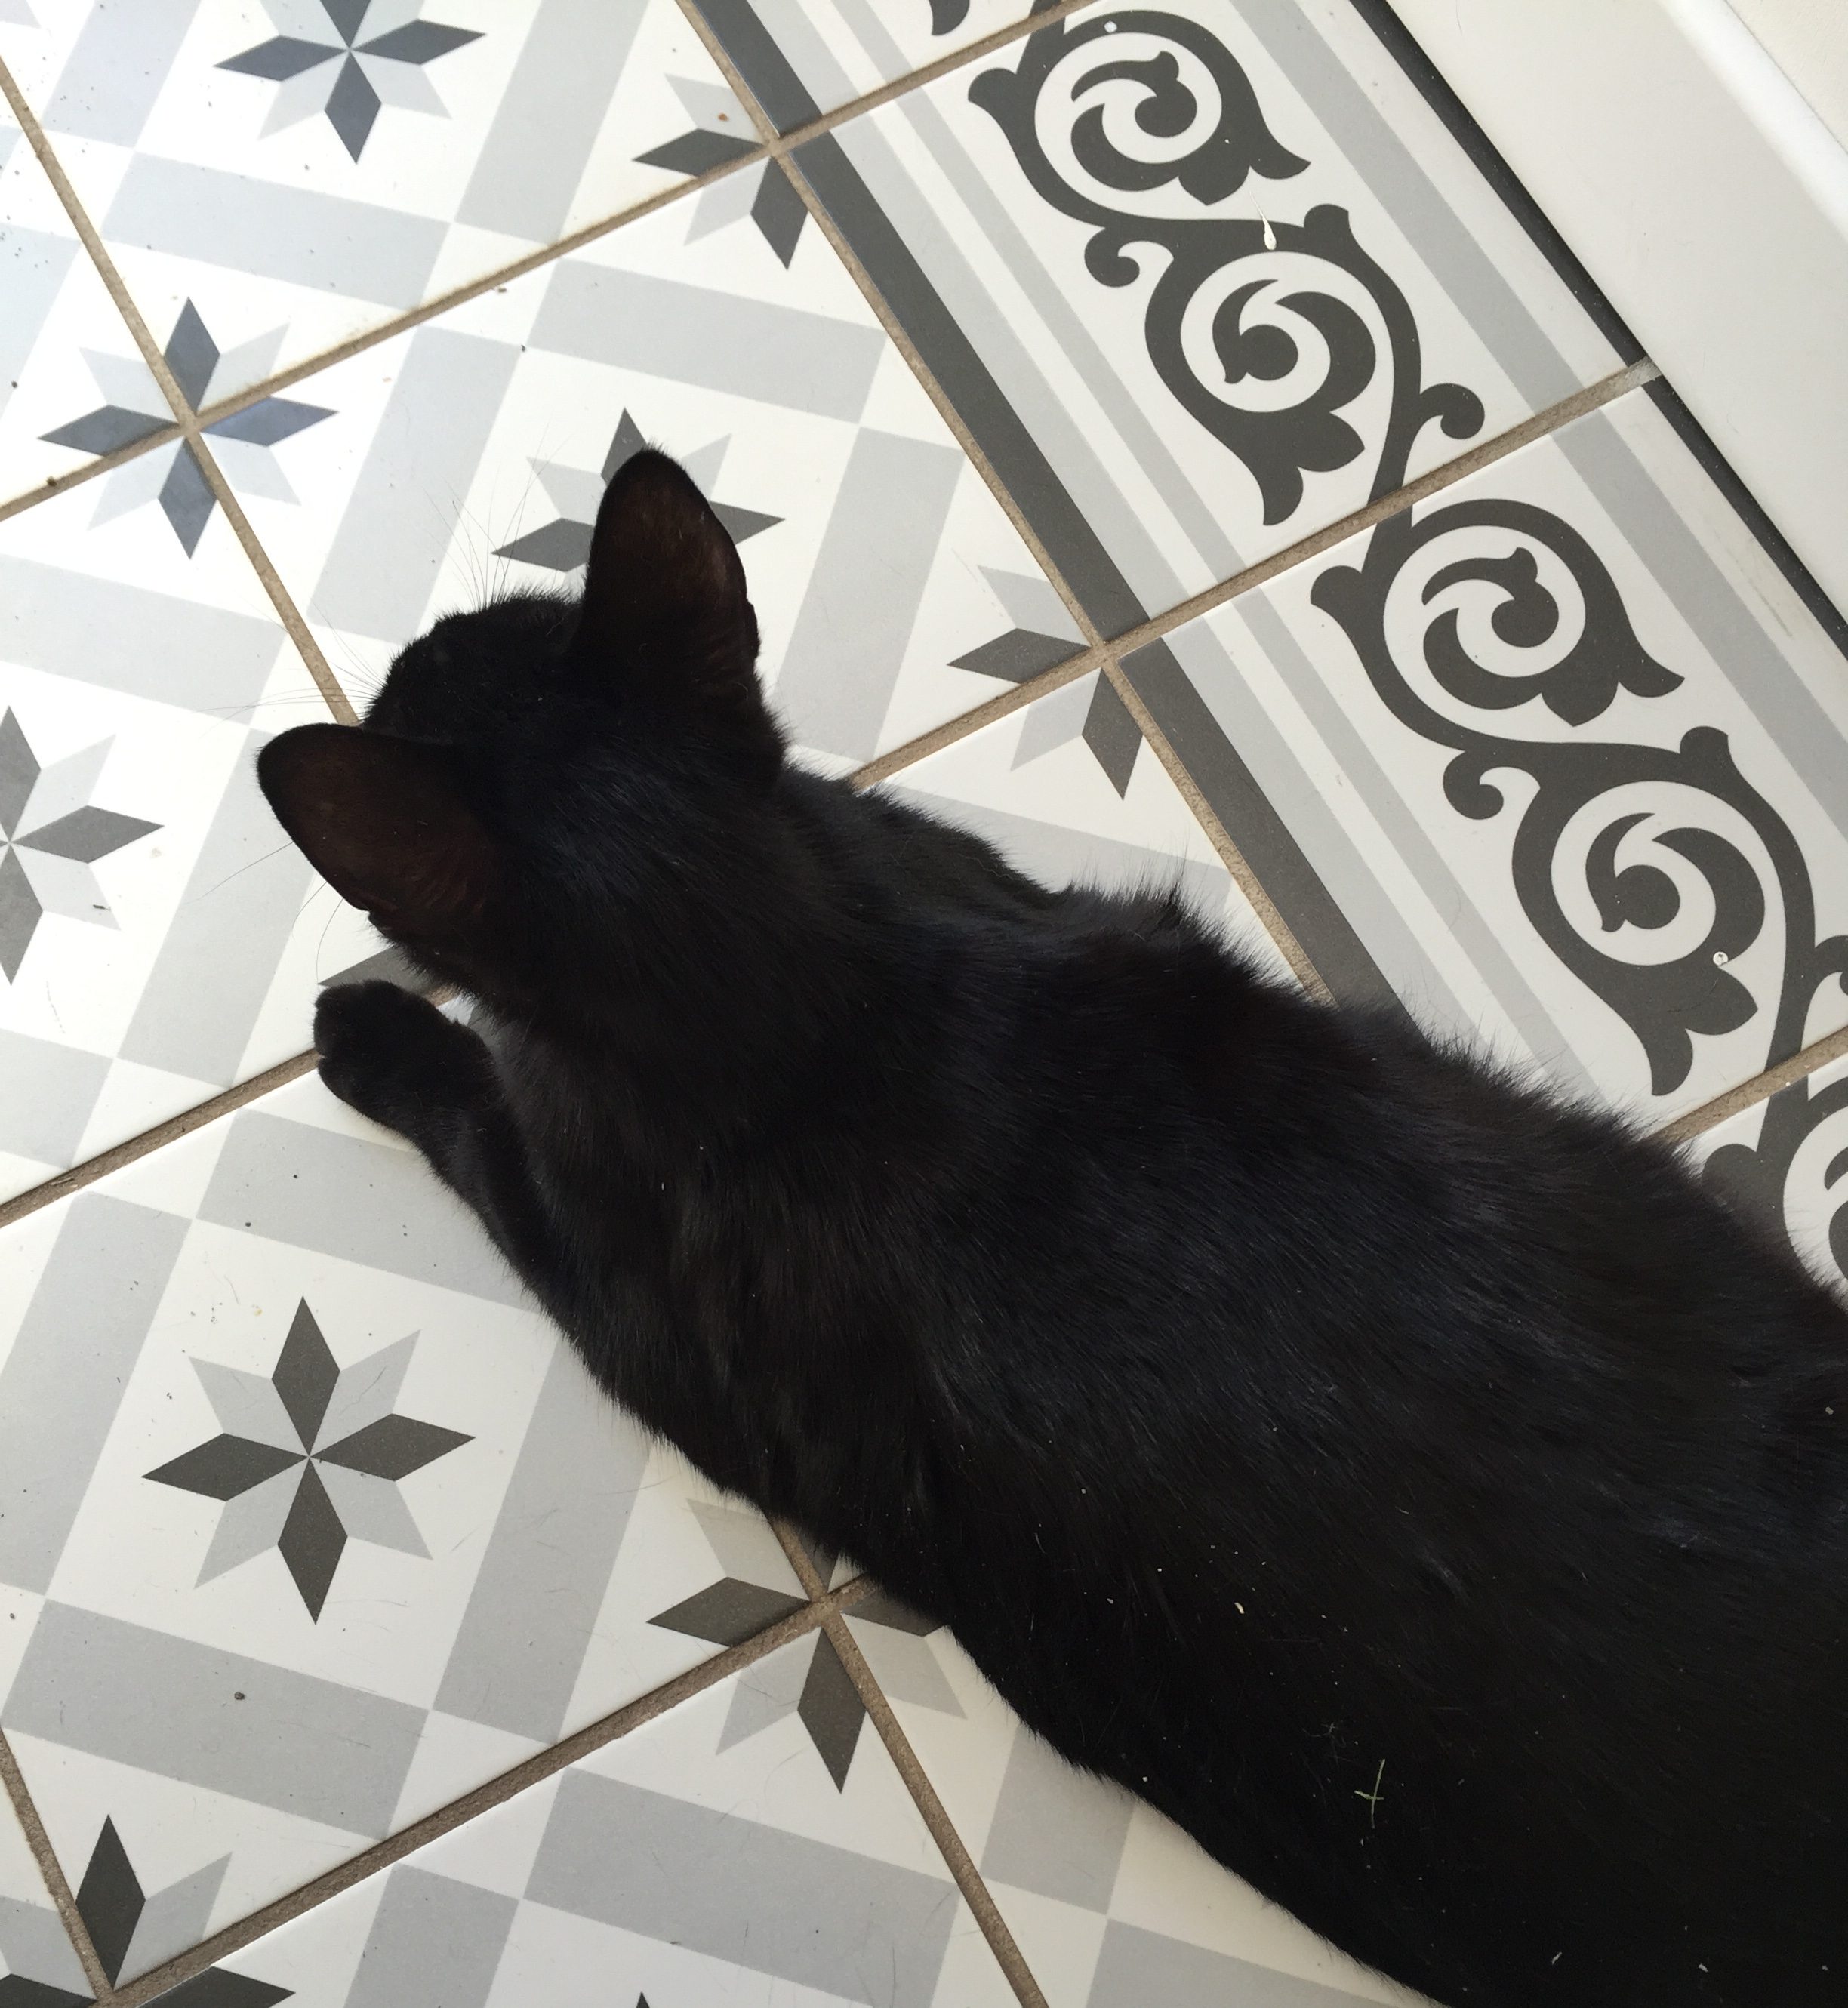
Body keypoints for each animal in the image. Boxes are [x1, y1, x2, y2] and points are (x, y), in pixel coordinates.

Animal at [258, 448, 1848, 2008]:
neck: (805, 994)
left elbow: (481, 1127)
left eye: (443, 665)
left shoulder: (617, 1285)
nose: (408, 648)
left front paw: (378, 1032)